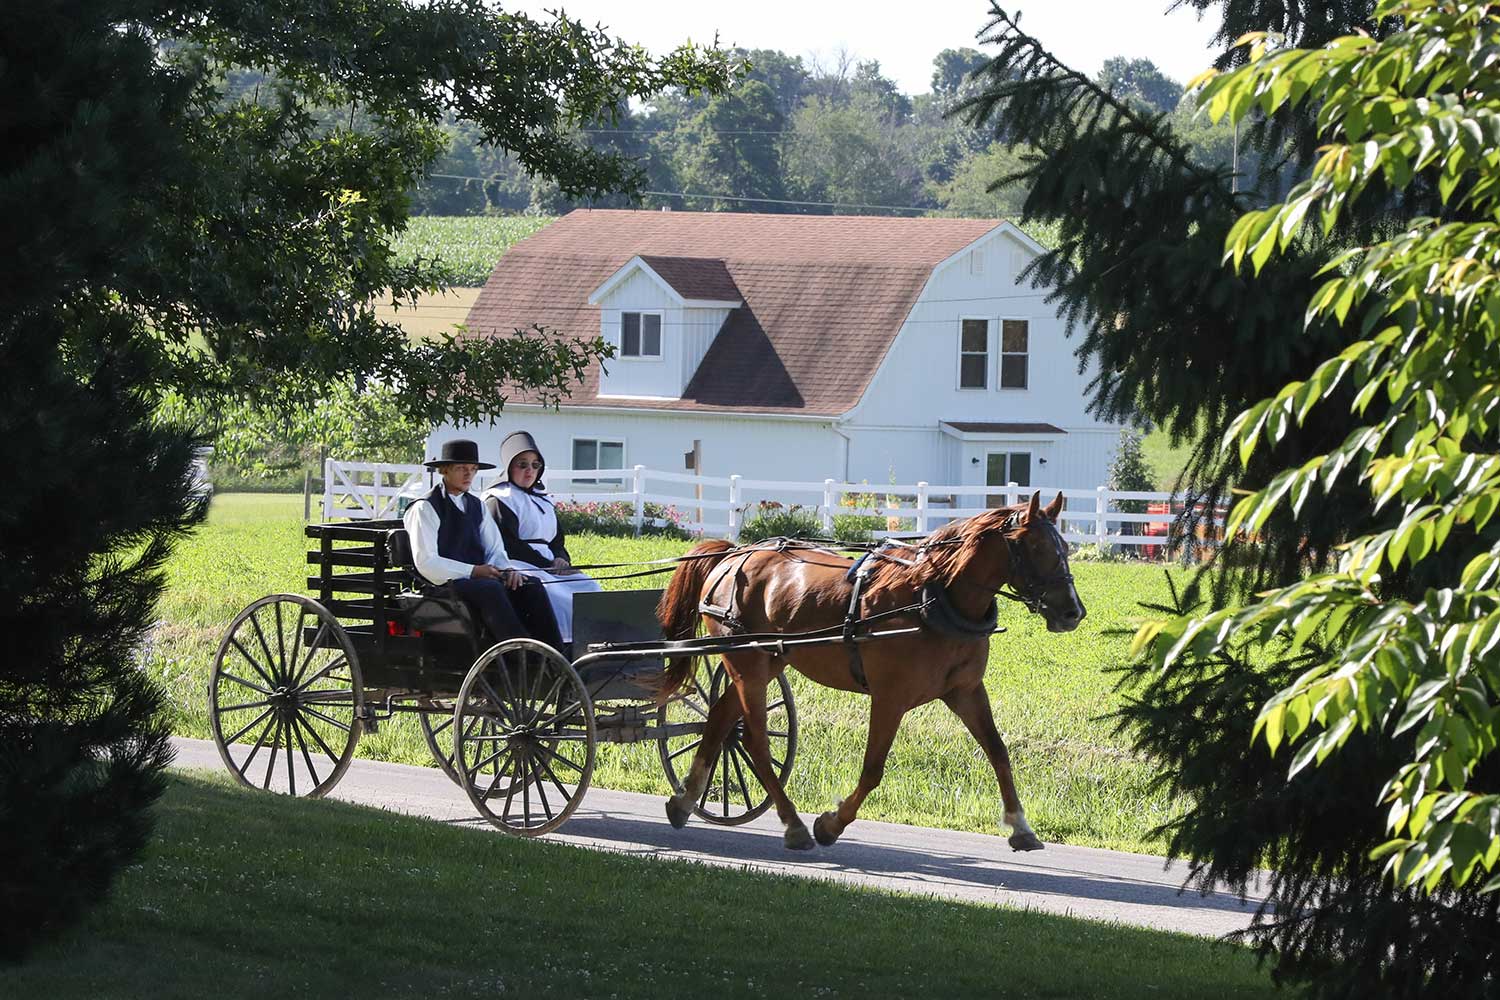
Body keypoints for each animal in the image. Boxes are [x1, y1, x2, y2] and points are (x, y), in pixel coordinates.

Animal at [651, 488, 1086, 851]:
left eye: (1065, 546)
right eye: (1035, 545)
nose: (1073, 612)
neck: (932, 596)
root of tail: (733, 555)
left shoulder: (965, 691)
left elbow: (998, 751)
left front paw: (1020, 825)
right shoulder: (890, 696)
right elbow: (874, 768)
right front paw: (831, 824)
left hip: (768, 661)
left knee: (721, 717)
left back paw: (684, 800)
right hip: (749, 665)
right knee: (756, 742)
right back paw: (793, 824)